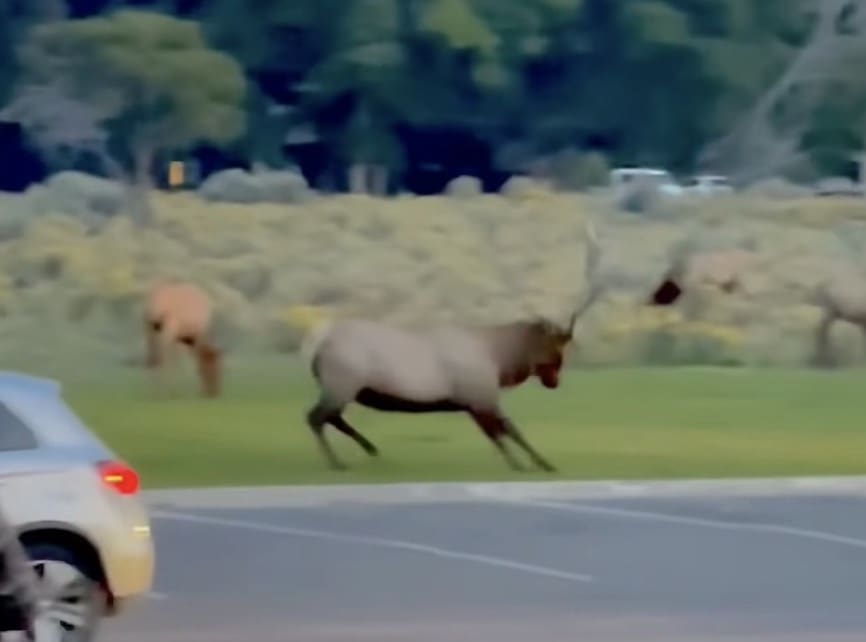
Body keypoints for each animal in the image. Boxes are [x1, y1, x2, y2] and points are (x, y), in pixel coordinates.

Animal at [301, 222, 605, 472]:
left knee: (331, 418)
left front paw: (531, 463)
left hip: (345, 388)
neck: (500, 360)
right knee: (315, 417)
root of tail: (318, 354)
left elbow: (500, 434)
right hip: (342, 383)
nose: (554, 379)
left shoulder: (473, 403)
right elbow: (510, 430)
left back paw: (370, 449)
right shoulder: (481, 396)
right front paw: (535, 464)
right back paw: (337, 461)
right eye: (555, 345)